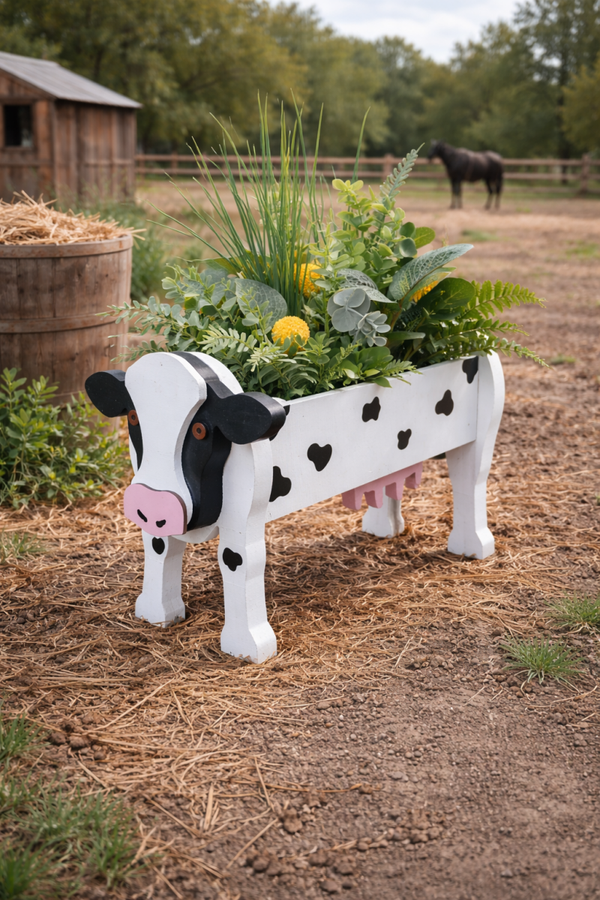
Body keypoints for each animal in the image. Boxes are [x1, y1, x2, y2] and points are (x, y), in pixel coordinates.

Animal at [85, 349, 505, 663]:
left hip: (480, 435)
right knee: (390, 483)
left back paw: (473, 546)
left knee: (469, 482)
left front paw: (247, 645)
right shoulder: (152, 505)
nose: (151, 500)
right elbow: (159, 551)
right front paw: (156, 613)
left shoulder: (244, 518)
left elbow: (239, 565)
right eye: (133, 417)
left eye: (201, 429)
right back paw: (384, 528)